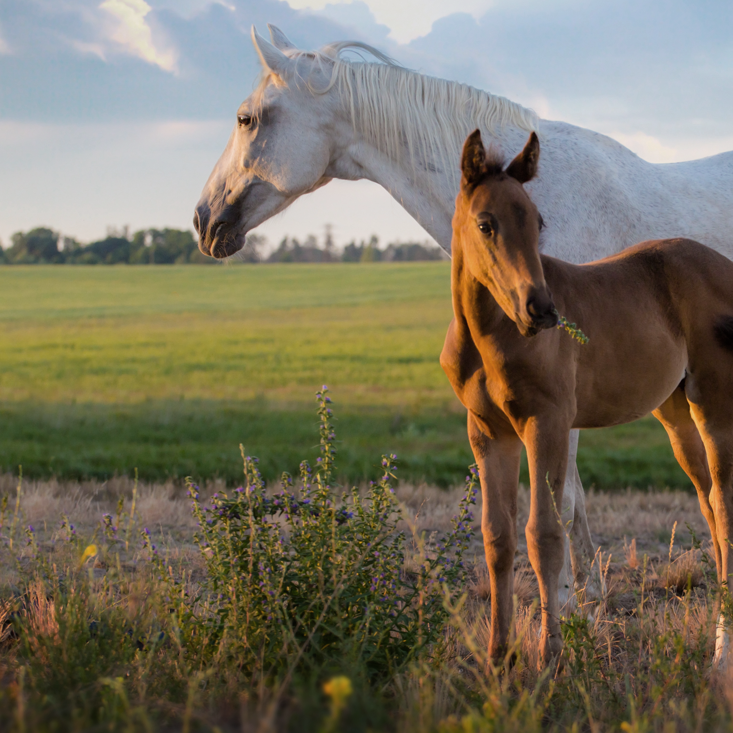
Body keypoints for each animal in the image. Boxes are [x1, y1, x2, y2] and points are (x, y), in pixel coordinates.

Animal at [193, 24, 732, 612]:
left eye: (246, 119)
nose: (202, 219)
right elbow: (574, 501)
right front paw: (586, 598)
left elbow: (562, 503)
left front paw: (566, 608)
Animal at [444, 129, 732, 668]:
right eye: (486, 224)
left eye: (537, 221)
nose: (541, 310)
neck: (491, 337)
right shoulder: (487, 431)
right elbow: (498, 537)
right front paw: (498, 658)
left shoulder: (548, 423)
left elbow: (545, 533)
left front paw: (551, 656)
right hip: (676, 413)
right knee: (708, 503)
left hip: (715, 405)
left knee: (724, 507)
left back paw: (722, 654)